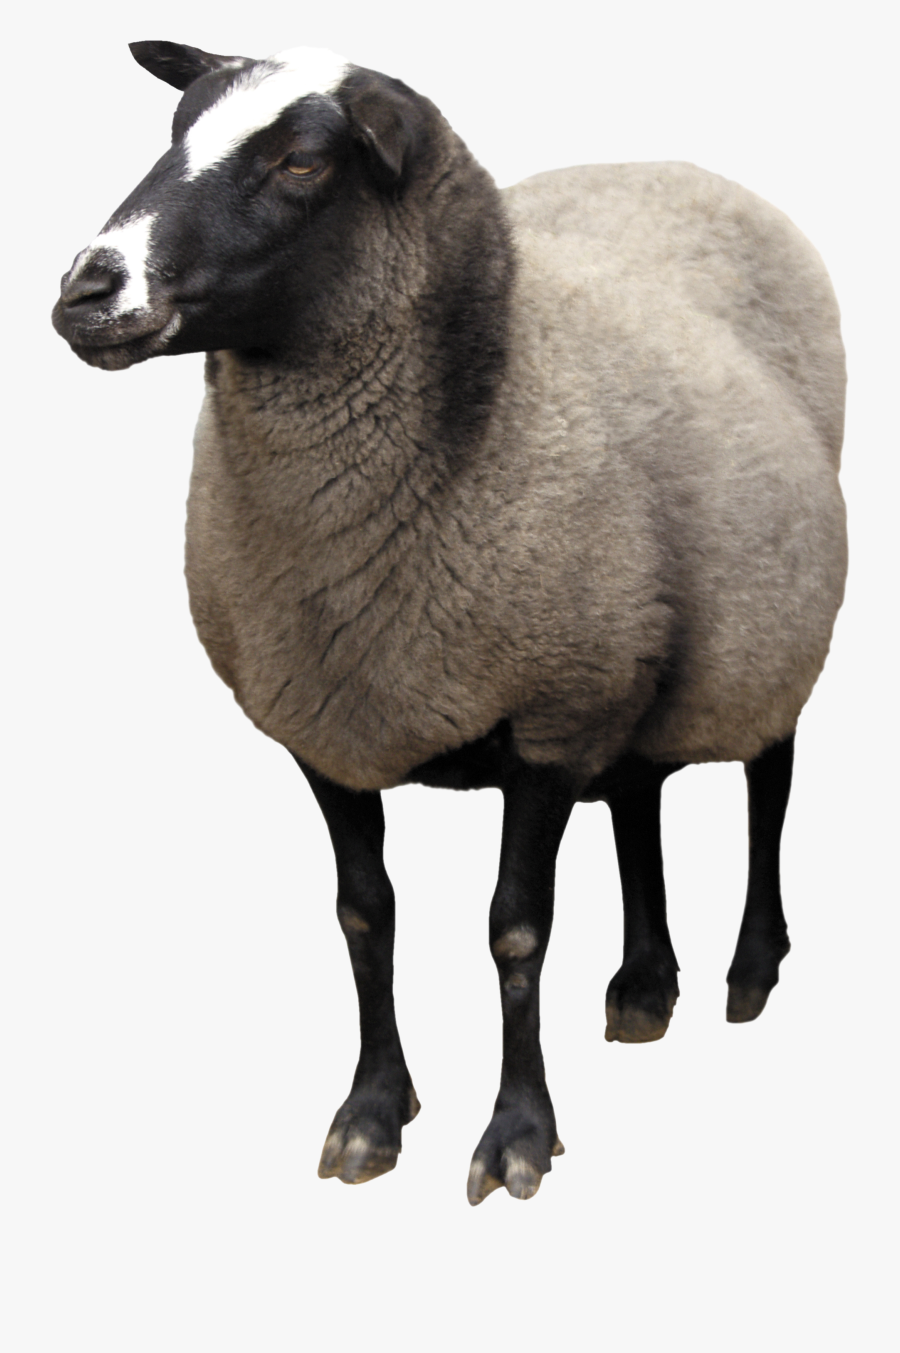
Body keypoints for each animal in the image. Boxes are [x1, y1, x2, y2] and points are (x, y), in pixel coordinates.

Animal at [52, 41, 847, 1206]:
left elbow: (516, 932)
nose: (85, 291)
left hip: (757, 622)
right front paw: (372, 1115)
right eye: (175, 133)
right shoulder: (329, 724)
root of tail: (676, 165)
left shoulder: (550, 719)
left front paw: (518, 1135)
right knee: (642, 793)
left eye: (302, 160)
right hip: (636, 642)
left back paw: (750, 969)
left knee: (769, 777)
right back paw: (644, 987)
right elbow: (365, 916)